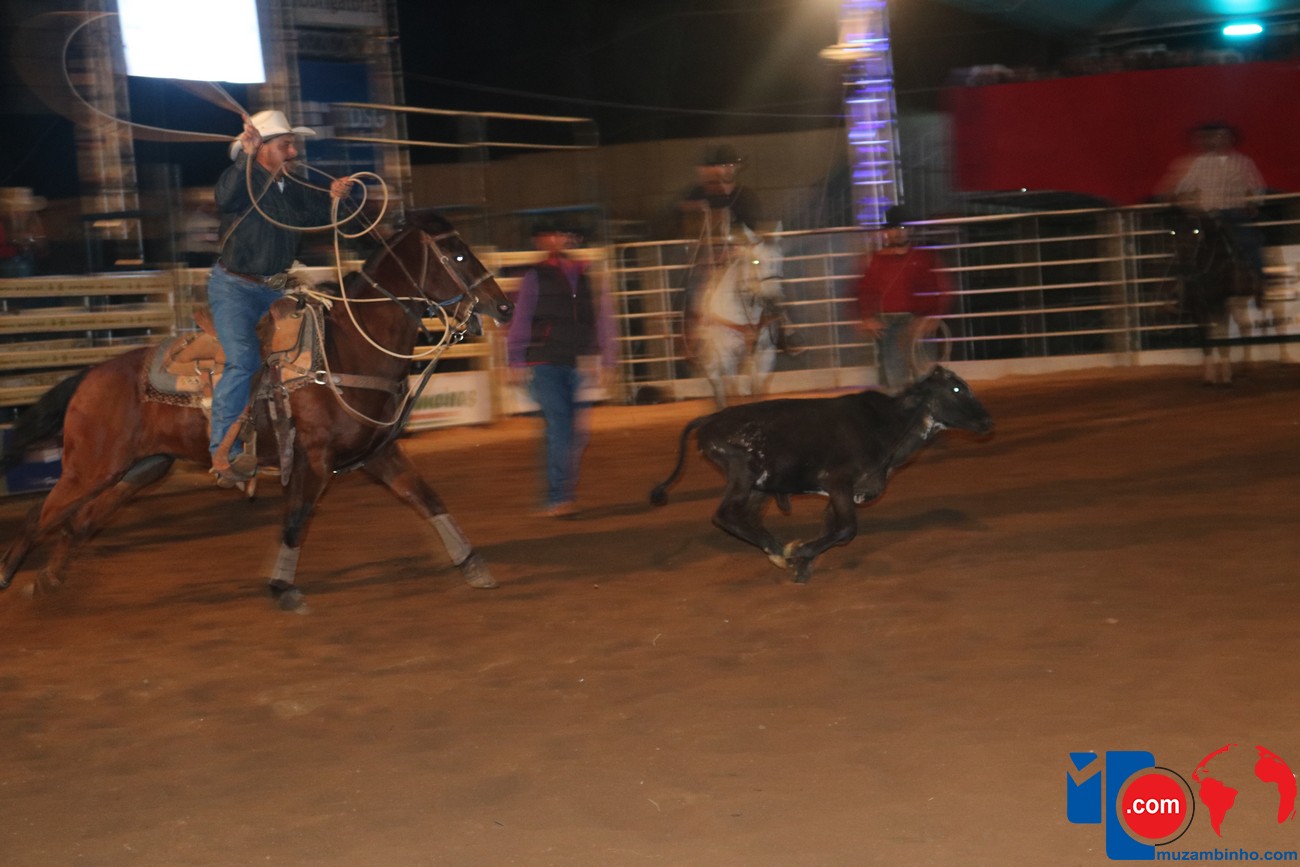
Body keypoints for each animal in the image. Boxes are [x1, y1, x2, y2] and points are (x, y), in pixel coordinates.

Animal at [0, 211, 513, 610]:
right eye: (459, 255)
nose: (504, 306)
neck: (346, 349)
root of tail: (90, 375)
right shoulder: (316, 460)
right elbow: (296, 520)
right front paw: (282, 586)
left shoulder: (377, 453)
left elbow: (427, 498)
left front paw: (472, 563)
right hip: (90, 468)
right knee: (39, 516)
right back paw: (12, 575)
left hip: (140, 470)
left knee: (80, 522)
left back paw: (48, 579)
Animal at [648, 366, 993, 583]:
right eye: (957, 387)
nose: (988, 421)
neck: (889, 425)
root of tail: (712, 418)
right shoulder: (838, 481)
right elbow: (847, 530)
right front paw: (798, 552)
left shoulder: (841, 493)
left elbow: (832, 527)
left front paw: (802, 565)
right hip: (742, 471)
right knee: (726, 515)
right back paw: (778, 550)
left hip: (760, 485)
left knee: (746, 517)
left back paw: (774, 550)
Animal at [692, 226, 786, 408]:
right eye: (756, 261)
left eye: (781, 259)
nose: (773, 299)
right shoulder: (728, 356)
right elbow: (733, 390)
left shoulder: (766, 353)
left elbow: (757, 388)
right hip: (712, 357)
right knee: (718, 384)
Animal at [1165, 206, 1263, 386]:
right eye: (1173, 231)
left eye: (1196, 231)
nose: (1184, 268)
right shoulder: (1198, 306)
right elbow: (1207, 338)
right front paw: (1210, 377)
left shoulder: (1221, 303)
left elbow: (1222, 335)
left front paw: (1226, 378)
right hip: (1238, 302)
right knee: (1245, 325)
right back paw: (1245, 368)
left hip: (1238, 300)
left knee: (1246, 324)